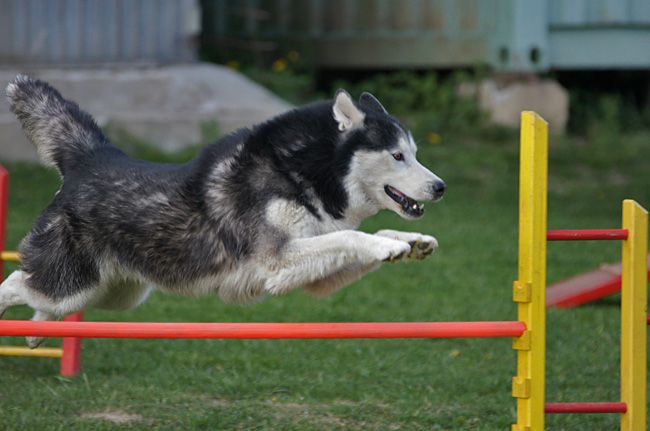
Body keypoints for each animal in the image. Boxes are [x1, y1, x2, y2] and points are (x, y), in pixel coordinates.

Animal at [1, 75, 440, 348]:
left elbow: (364, 235)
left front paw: (409, 242)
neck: (300, 175)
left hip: (112, 294)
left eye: (416, 154)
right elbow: (352, 235)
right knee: (16, 282)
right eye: (397, 156)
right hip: (70, 285)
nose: (440, 187)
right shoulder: (276, 262)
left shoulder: (313, 272)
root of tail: (92, 156)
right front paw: (386, 246)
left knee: (43, 300)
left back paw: (36, 333)